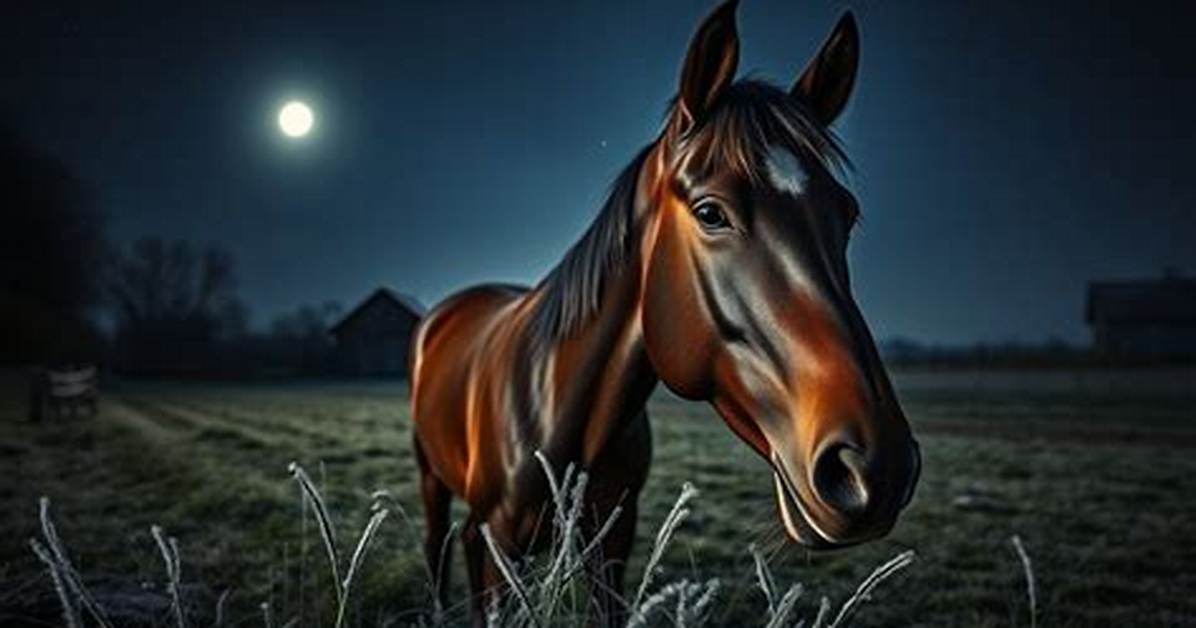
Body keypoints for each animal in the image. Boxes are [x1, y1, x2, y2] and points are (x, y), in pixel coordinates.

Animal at [409, 1, 921, 622]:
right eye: (710, 212)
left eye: (846, 215)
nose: (878, 468)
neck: (561, 409)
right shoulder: (504, 545)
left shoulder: (612, 541)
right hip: (432, 477)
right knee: (437, 541)